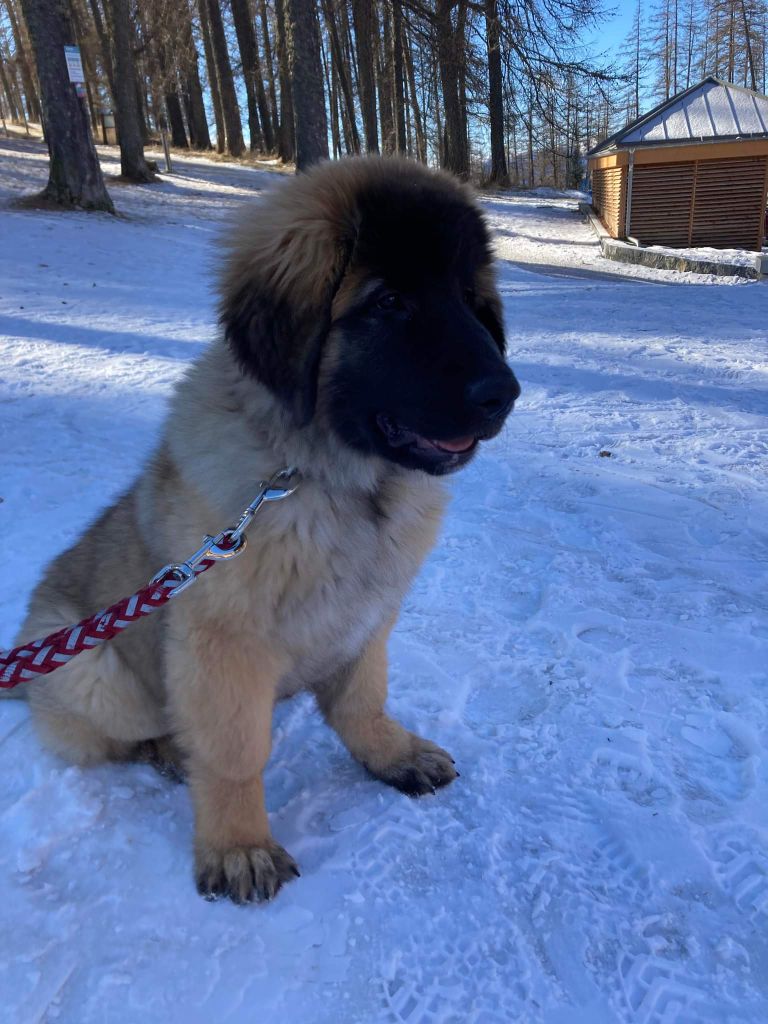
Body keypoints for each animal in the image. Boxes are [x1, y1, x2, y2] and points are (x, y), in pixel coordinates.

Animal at [12, 155, 520, 901]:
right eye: (388, 303)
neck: (332, 481)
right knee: (123, 733)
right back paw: (168, 749)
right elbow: (234, 752)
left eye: (466, 296)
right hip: (89, 667)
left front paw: (391, 755)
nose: (503, 394)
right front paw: (239, 846)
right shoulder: (224, 640)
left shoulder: (368, 616)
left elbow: (362, 700)